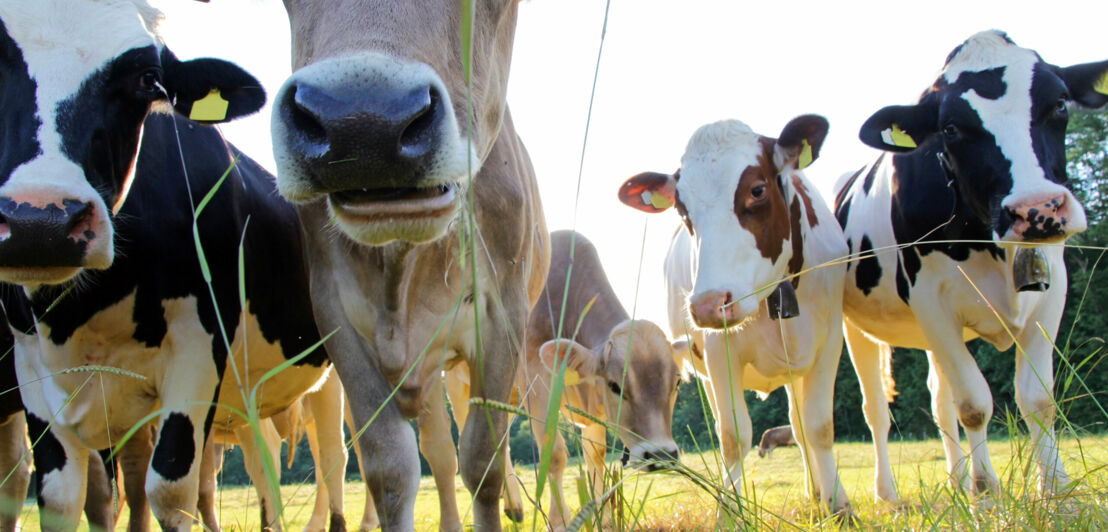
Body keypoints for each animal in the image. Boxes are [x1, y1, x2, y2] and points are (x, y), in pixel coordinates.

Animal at [0, 2, 339, 529]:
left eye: (147, 79)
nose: (38, 221)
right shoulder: (32, 369)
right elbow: (59, 498)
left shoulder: (197, 347)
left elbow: (170, 488)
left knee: (338, 459)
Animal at [267, 2, 545, 529]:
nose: (362, 123)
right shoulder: (335, 315)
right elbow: (391, 471)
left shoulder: (504, 315)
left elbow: (483, 462)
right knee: (438, 451)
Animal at [509, 230, 682, 529]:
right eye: (615, 386)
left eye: (677, 383)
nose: (661, 456)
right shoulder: (536, 381)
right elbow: (554, 454)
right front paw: (559, 522)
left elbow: (596, 455)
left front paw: (602, 517)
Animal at [620, 113, 850, 514]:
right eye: (682, 210)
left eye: (757, 190)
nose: (708, 304)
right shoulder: (718, 353)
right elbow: (732, 435)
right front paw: (730, 511)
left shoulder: (831, 341)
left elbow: (819, 426)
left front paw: (837, 505)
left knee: (799, 425)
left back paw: (816, 492)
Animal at [837, 29, 1108, 503]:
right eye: (950, 128)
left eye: (1059, 103)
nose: (1037, 209)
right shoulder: (931, 301)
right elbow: (975, 404)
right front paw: (986, 491)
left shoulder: (1051, 292)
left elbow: (1037, 398)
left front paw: (1055, 491)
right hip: (858, 328)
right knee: (878, 410)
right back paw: (888, 494)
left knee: (939, 402)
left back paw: (956, 480)